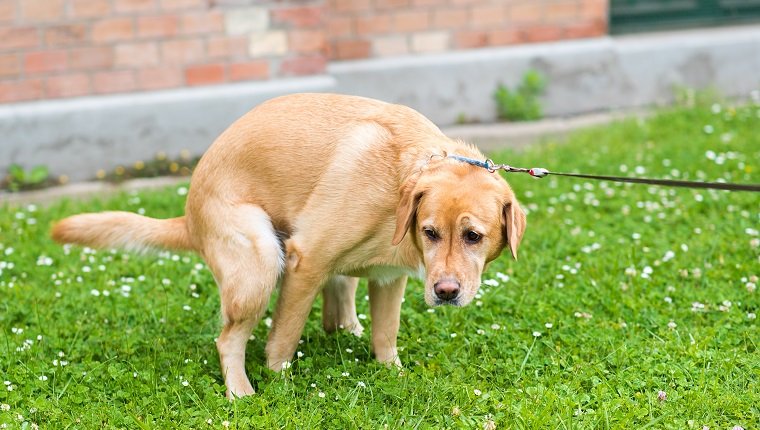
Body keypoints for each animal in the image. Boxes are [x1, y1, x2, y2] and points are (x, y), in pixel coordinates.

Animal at [50, 92, 524, 398]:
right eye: (430, 232)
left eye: (473, 236)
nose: (445, 293)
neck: (400, 181)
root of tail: (189, 215)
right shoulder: (305, 261)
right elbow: (283, 338)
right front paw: (279, 382)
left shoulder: (389, 280)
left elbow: (386, 336)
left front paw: (394, 373)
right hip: (259, 262)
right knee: (228, 340)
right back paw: (241, 391)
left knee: (338, 307)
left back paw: (346, 330)